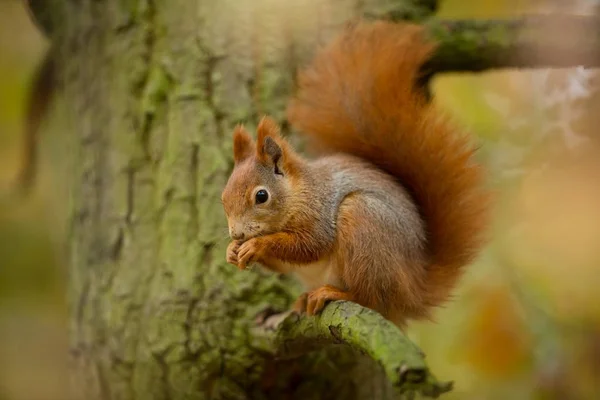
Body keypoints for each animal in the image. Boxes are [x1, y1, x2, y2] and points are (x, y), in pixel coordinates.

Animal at [223, 20, 490, 326]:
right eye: (223, 198)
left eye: (261, 196)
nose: (236, 234)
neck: (298, 192)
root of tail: (412, 292)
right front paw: (232, 251)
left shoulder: (319, 213)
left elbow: (310, 245)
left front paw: (257, 245)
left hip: (363, 226)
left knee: (370, 297)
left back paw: (335, 293)